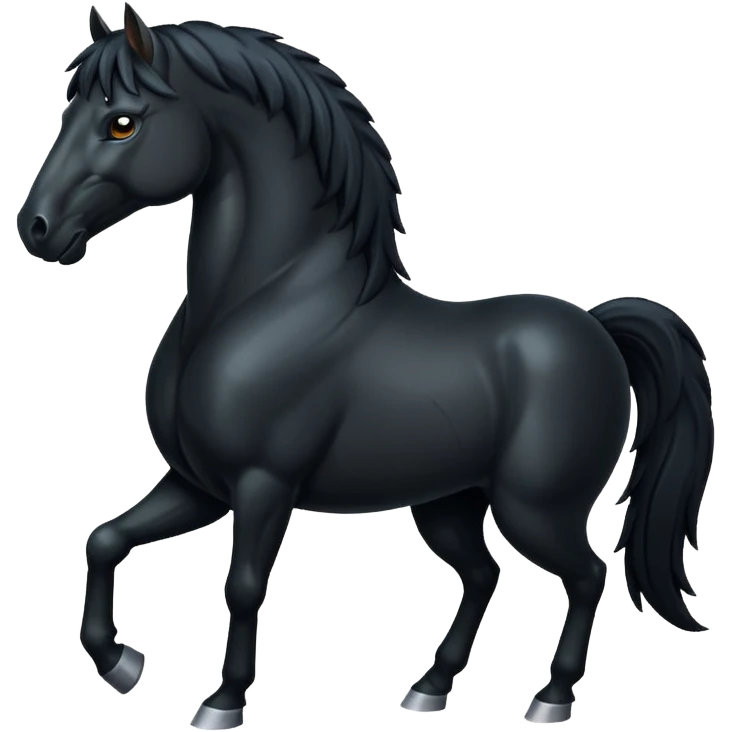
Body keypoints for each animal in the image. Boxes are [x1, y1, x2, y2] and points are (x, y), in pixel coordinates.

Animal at [16, 5, 714, 729]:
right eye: (70, 111)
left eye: (123, 121)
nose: (35, 228)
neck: (267, 300)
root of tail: (598, 329)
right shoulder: (197, 483)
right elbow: (105, 539)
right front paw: (121, 664)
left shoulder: (263, 484)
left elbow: (242, 586)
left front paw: (223, 701)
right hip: (448, 504)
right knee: (484, 574)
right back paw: (429, 687)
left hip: (536, 508)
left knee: (586, 574)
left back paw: (551, 698)